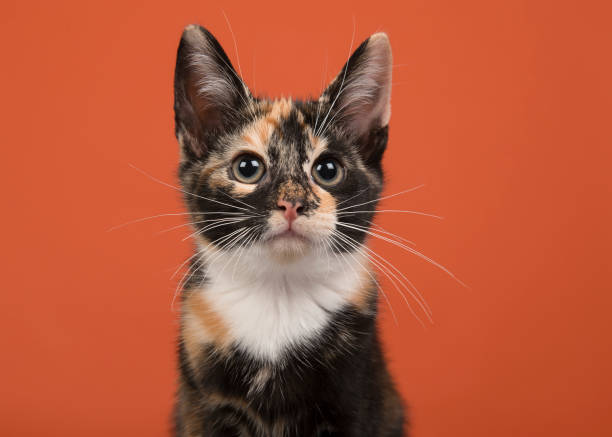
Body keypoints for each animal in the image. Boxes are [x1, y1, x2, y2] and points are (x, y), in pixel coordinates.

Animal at [171, 24, 406, 436]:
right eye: (247, 168)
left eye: (327, 170)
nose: (293, 202)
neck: (279, 295)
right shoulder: (202, 404)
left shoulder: (356, 397)